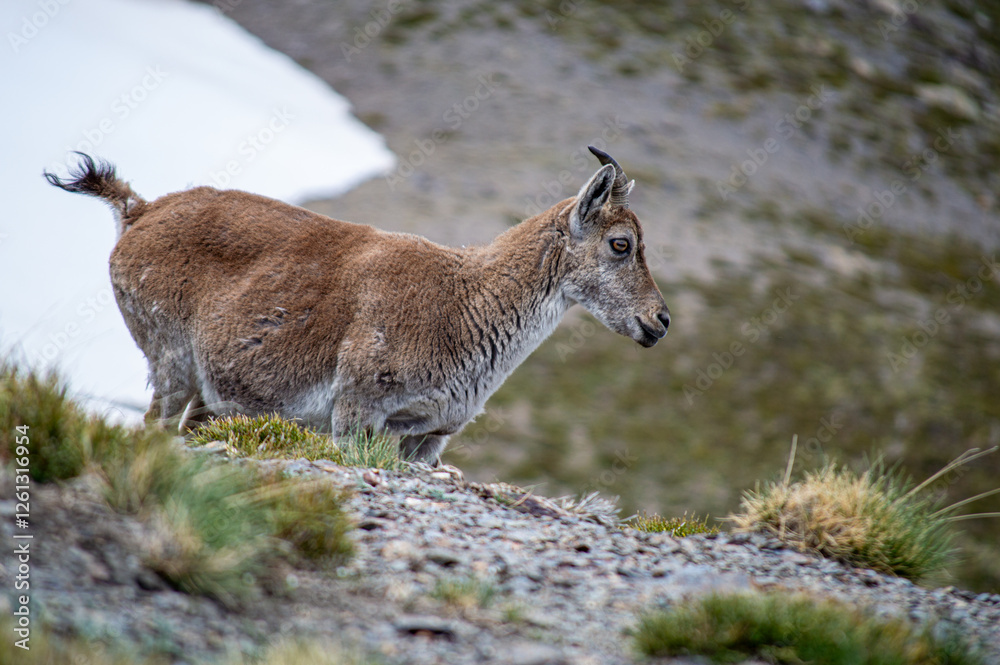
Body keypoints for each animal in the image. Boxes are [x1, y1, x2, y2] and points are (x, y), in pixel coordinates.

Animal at [45, 148, 670, 466]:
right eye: (621, 243)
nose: (659, 322)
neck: (467, 303)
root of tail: (139, 213)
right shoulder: (357, 412)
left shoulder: (429, 439)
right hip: (170, 361)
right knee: (152, 425)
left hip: (212, 395)